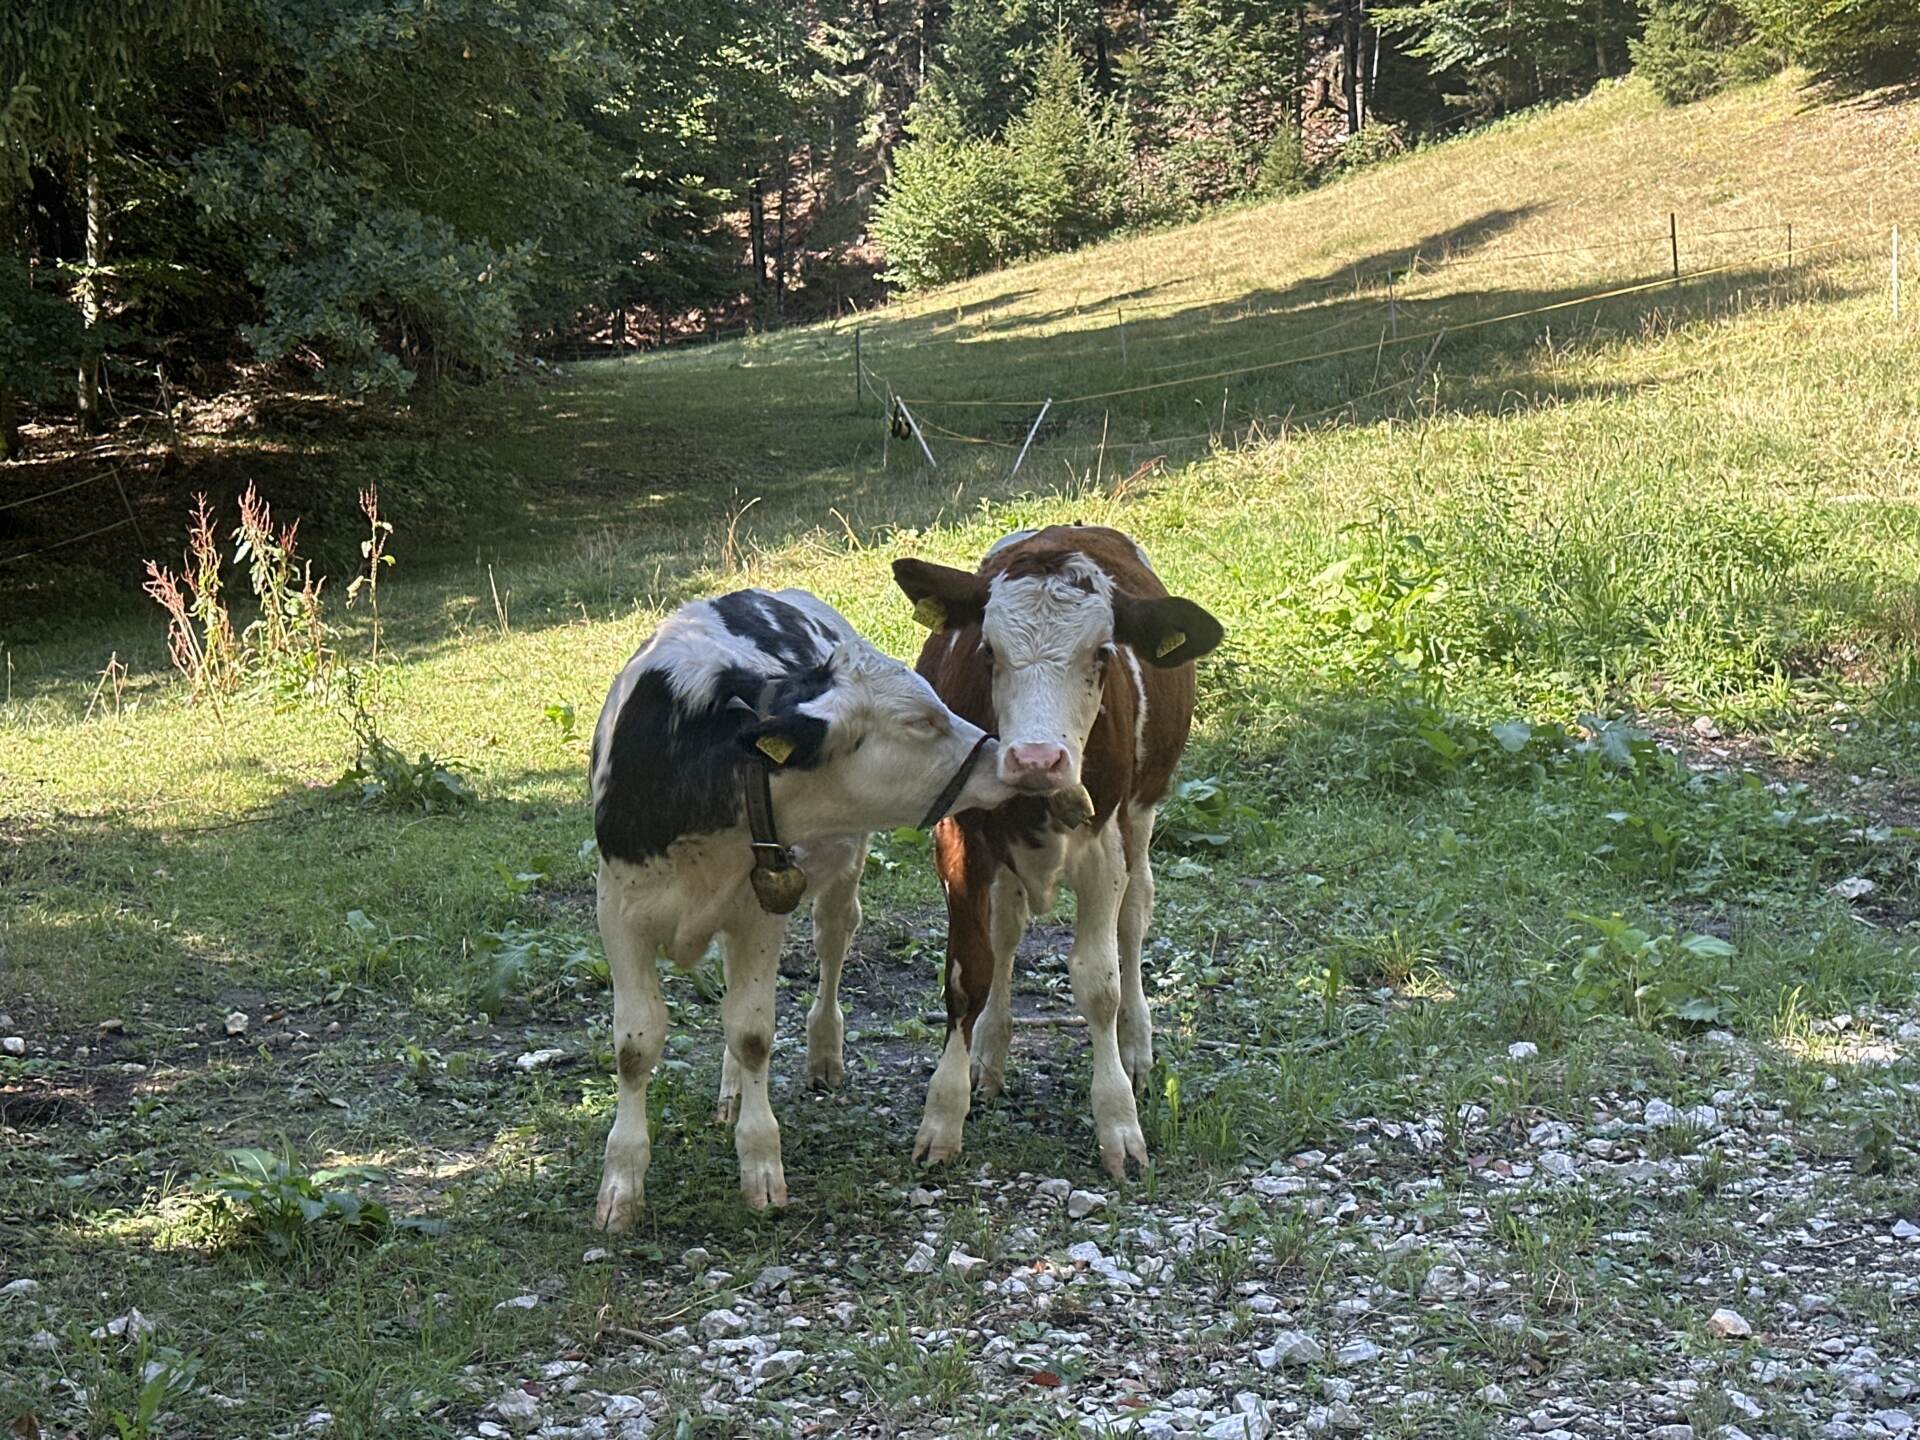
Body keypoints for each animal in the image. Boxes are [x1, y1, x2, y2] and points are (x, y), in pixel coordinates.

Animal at [588, 588, 1018, 1227]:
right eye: (921, 721)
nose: (1009, 757)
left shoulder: (759, 912)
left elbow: (751, 1032)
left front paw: (761, 1166)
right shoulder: (619, 913)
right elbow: (635, 1047)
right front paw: (621, 1182)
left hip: (842, 874)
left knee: (832, 946)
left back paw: (822, 1053)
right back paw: (730, 1091)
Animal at [892, 525, 1224, 1179]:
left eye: (1101, 653)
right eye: (987, 651)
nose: (1036, 759)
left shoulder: (1105, 845)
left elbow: (1099, 982)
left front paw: (1118, 1122)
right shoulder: (959, 841)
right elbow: (969, 972)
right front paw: (944, 1113)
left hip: (1142, 814)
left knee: (1133, 920)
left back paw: (1136, 1049)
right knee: (1006, 933)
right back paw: (989, 1053)